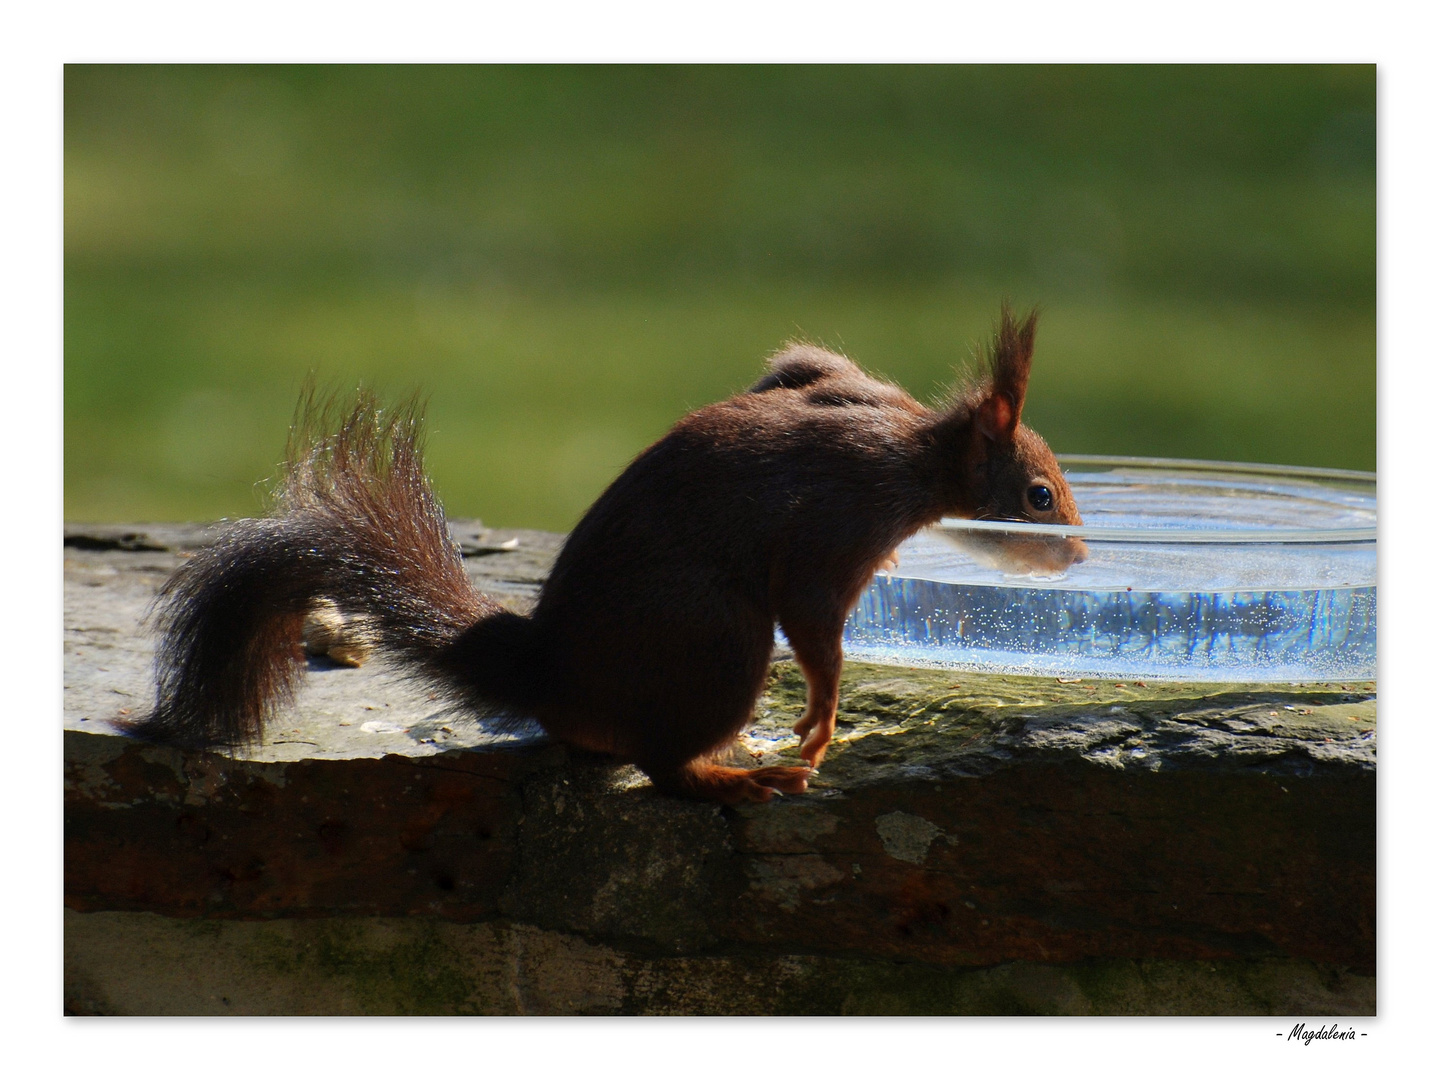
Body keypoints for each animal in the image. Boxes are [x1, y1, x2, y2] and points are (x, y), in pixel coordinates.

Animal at [132, 305, 1082, 806]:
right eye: (1039, 495)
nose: (1074, 555)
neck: (913, 451)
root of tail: (547, 676)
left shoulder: (831, 375)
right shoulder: (836, 522)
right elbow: (814, 623)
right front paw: (820, 718)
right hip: (715, 640)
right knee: (664, 766)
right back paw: (737, 777)